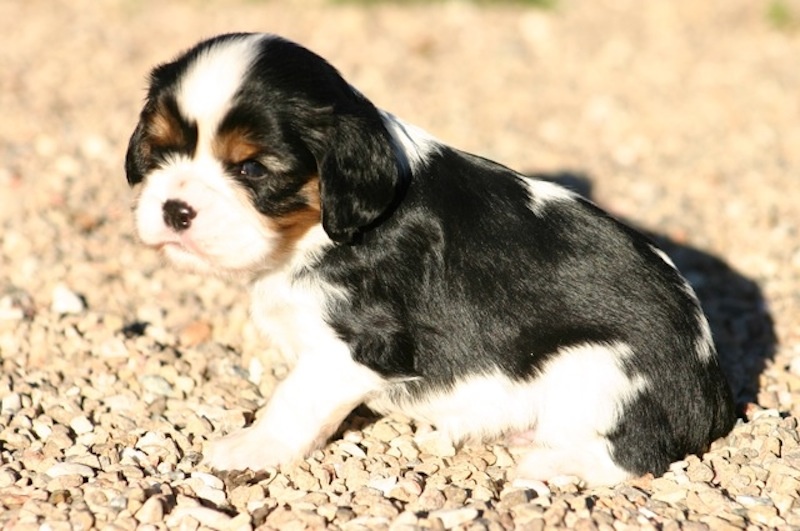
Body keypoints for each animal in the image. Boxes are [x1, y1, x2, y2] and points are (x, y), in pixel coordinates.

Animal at [128, 32, 736, 486]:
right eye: (160, 150)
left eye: (252, 169)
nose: (175, 209)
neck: (314, 233)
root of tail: (715, 398)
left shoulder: (357, 347)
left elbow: (294, 400)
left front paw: (252, 445)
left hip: (600, 372)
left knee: (633, 457)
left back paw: (546, 462)